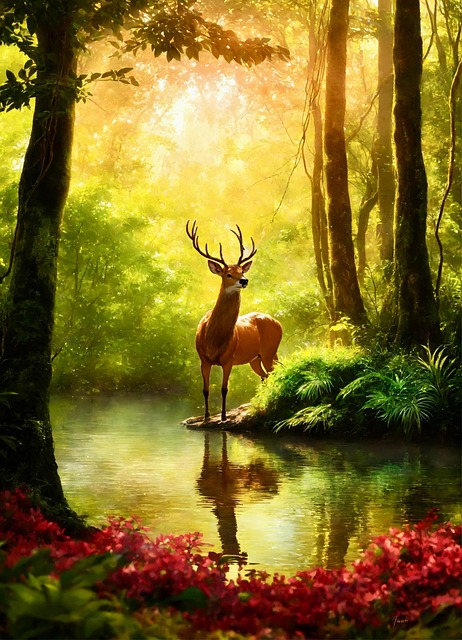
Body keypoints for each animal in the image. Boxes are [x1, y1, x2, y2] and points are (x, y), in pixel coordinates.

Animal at [186, 220, 282, 422]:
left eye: (241, 271)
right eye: (228, 274)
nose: (244, 280)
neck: (213, 339)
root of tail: (278, 322)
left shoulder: (229, 359)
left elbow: (224, 389)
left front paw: (223, 417)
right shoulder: (203, 359)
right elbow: (205, 390)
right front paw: (206, 416)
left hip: (269, 351)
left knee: (273, 373)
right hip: (256, 357)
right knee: (265, 376)